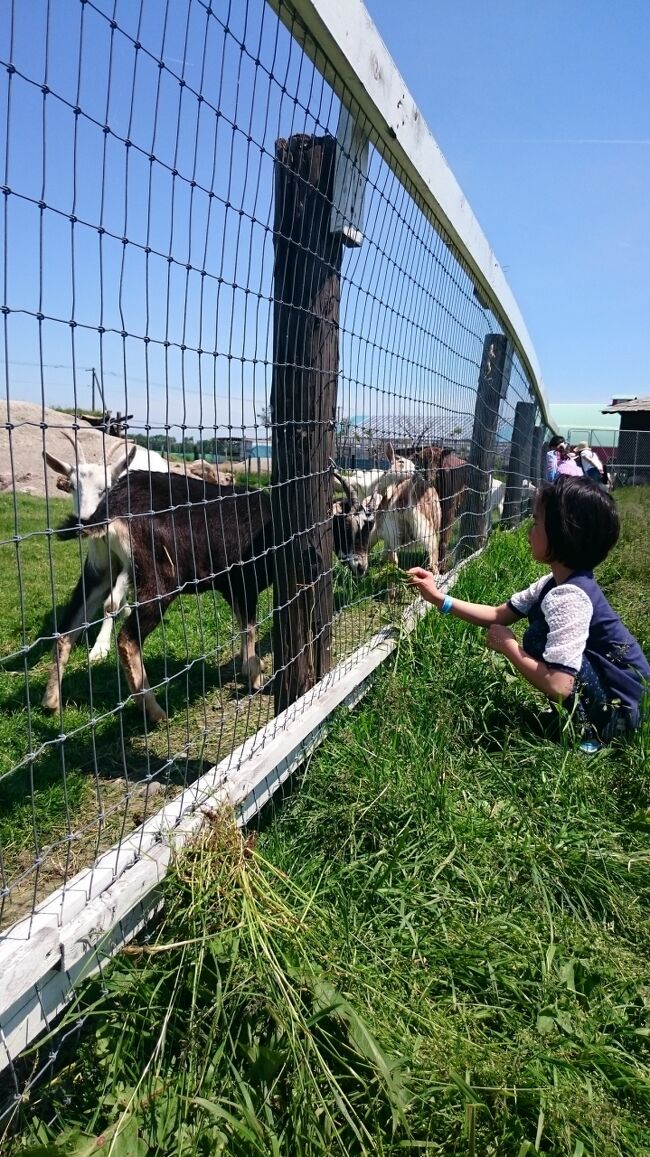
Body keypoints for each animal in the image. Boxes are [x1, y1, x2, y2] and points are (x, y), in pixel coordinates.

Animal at [43, 435, 167, 671]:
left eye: (107, 488)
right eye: (73, 486)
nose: (85, 521)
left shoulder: (131, 559)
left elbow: (109, 603)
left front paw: (99, 649)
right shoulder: (100, 563)